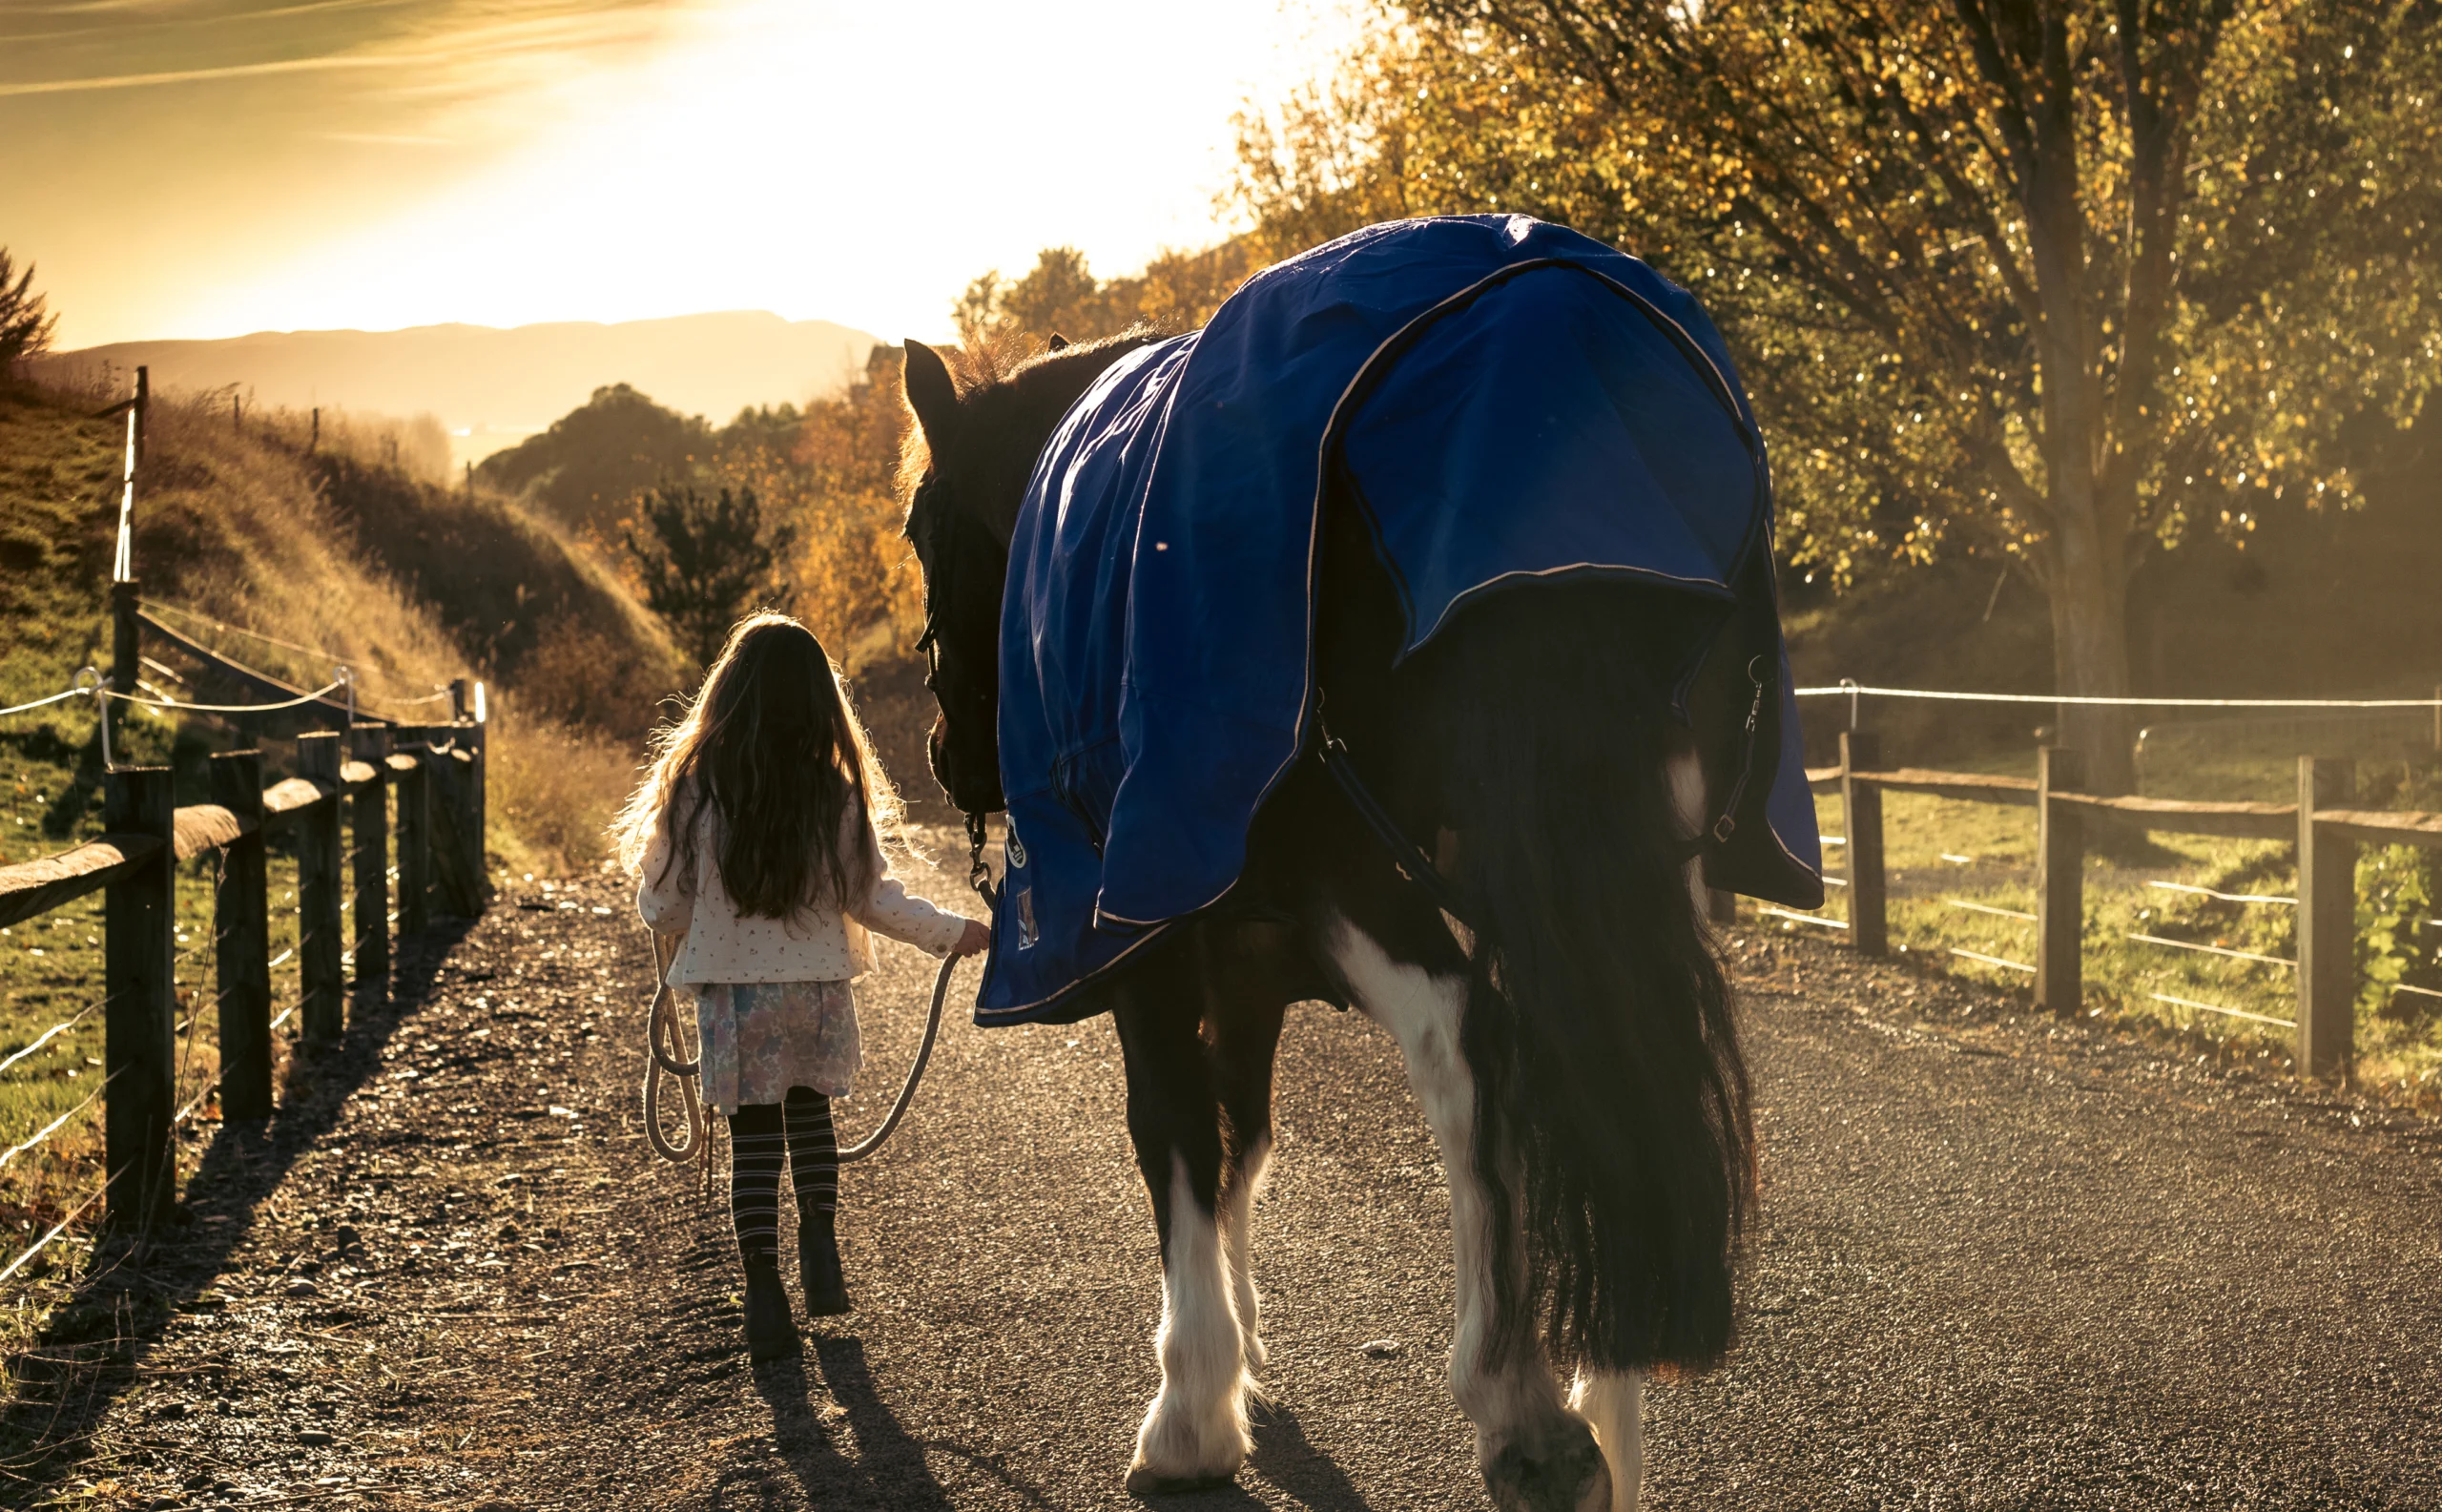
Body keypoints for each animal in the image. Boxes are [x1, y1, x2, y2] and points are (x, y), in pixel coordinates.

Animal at [896, 226, 1808, 1511]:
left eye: (921, 532)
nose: (946, 752)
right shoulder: (1242, 958)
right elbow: (1238, 1134)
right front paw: (1238, 1360)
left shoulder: (1148, 940)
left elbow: (1173, 1129)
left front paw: (1191, 1408)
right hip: (1624, 856)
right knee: (1602, 1051)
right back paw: (1602, 1402)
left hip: (1359, 865)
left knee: (1472, 1046)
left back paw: (1521, 1403)